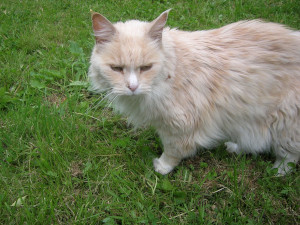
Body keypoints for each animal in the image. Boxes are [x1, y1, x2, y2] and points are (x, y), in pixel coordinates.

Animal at [89, 10, 300, 176]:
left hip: (284, 123)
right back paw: (234, 147)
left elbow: (172, 151)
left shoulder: (180, 126)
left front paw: (162, 167)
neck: (174, 70)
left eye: (146, 68)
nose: (132, 87)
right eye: (116, 69)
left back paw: (277, 172)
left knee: (290, 155)